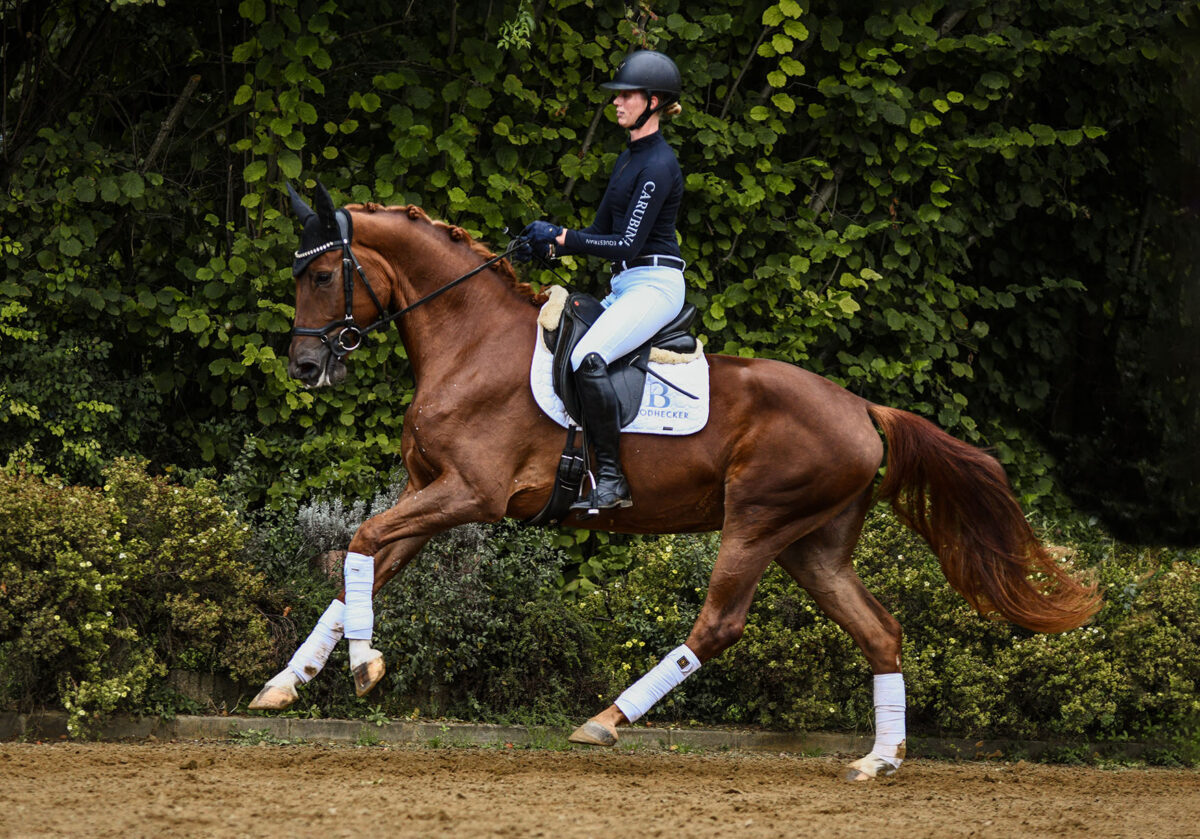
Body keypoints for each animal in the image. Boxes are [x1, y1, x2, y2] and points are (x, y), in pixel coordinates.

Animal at [248, 183, 1099, 782]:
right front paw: (288, 683)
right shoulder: (428, 493)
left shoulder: (468, 493)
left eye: (321, 273)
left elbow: (359, 540)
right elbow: (361, 564)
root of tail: (861, 405)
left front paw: (363, 667)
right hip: (812, 545)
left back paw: (606, 718)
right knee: (879, 629)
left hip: (756, 521)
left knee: (718, 624)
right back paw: (878, 759)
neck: (469, 339)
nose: (306, 366)